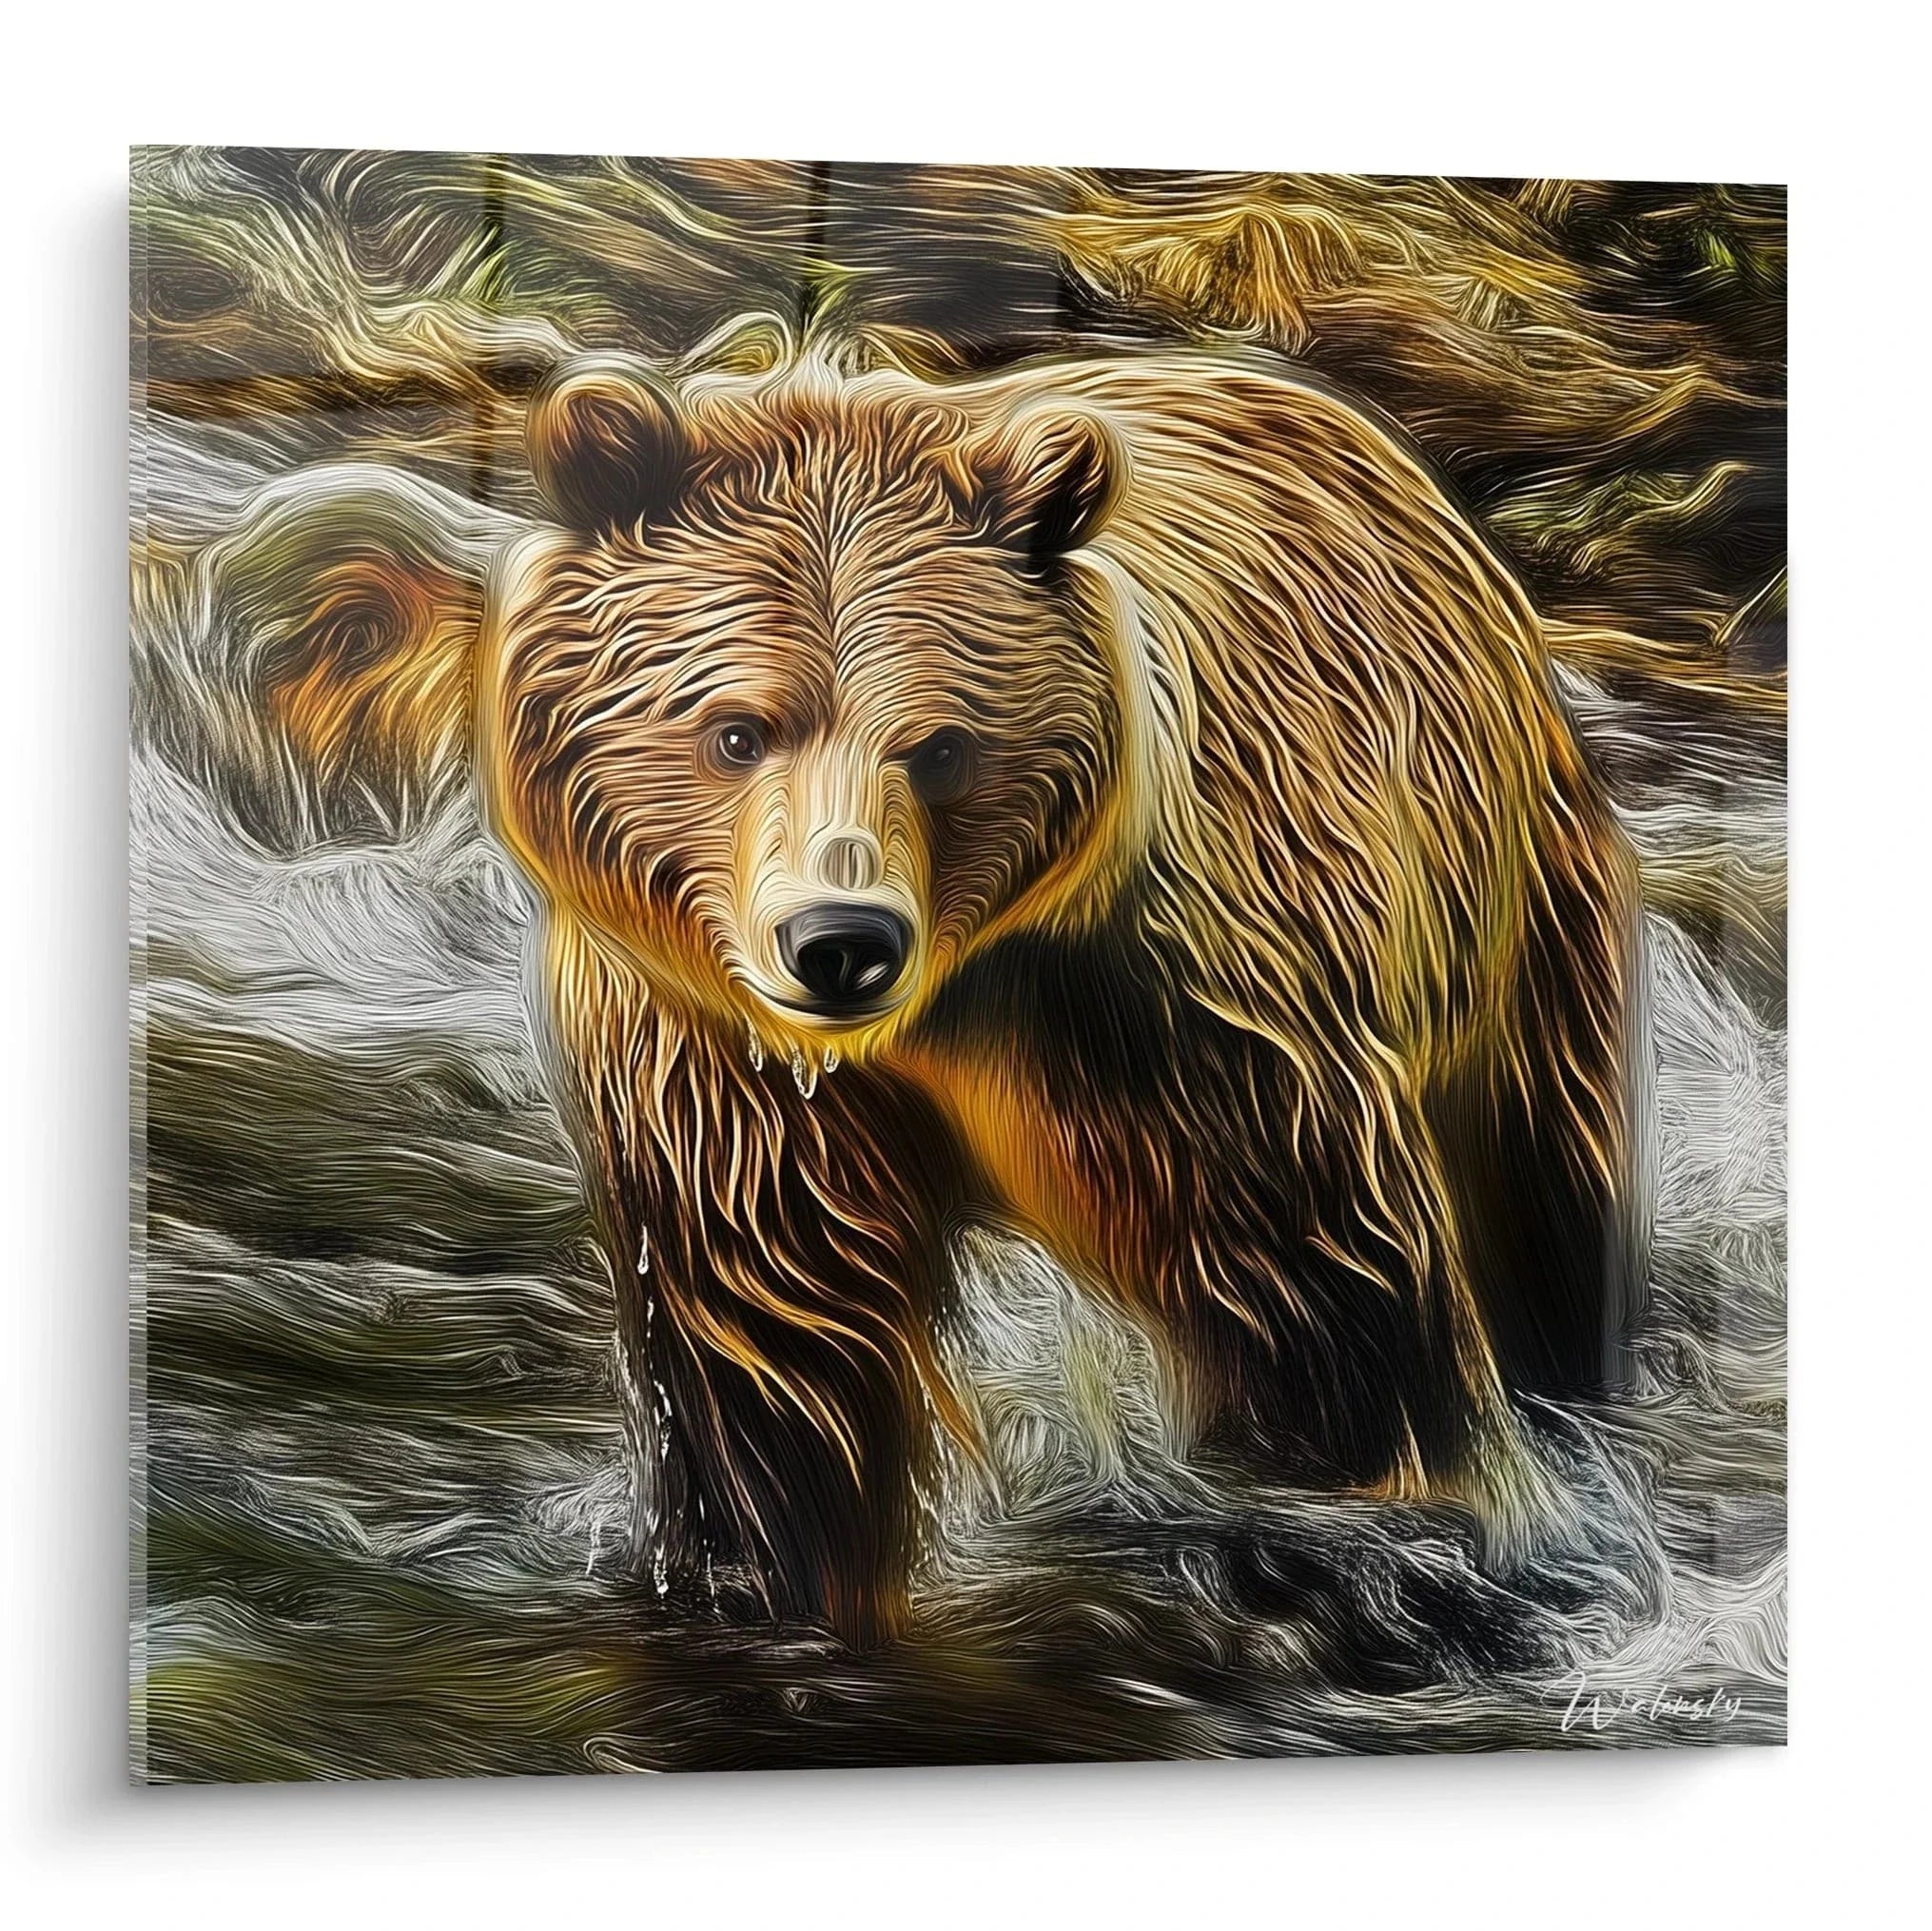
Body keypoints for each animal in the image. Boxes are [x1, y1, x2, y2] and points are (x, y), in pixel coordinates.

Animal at [448, 339, 1645, 1648]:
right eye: (736, 729)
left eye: (939, 744)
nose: (840, 941)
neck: (937, 1011)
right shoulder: (712, 1058)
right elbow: (779, 1343)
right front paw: (769, 1569)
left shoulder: (1167, 1009)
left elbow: (1320, 1293)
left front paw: (1405, 1509)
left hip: (1512, 903)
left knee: (1539, 1180)